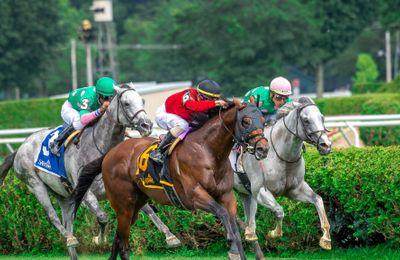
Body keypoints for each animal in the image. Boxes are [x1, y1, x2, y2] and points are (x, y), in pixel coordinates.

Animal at [0, 84, 179, 258]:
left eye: (142, 101)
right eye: (126, 103)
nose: (146, 125)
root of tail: (20, 147)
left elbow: (148, 210)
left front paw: (170, 236)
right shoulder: (86, 193)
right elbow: (103, 217)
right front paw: (99, 239)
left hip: (63, 195)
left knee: (68, 221)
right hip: (35, 184)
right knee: (52, 216)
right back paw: (70, 238)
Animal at [74, 100, 268, 260]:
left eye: (263, 120)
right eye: (246, 121)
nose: (263, 149)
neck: (208, 151)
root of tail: (109, 154)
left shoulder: (226, 195)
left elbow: (234, 225)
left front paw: (236, 248)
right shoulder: (194, 195)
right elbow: (222, 214)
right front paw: (231, 245)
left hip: (135, 204)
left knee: (119, 239)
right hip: (123, 203)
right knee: (123, 243)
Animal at [233, 97, 332, 258]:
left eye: (322, 118)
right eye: (306, 120)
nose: (326, 145)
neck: (281, 155)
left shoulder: (294, 190)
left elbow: (318, 199)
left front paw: (326, 239)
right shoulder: (260, 191)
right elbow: (279, 211)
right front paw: (273, 233)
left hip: (245, 193)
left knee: (248, 222)